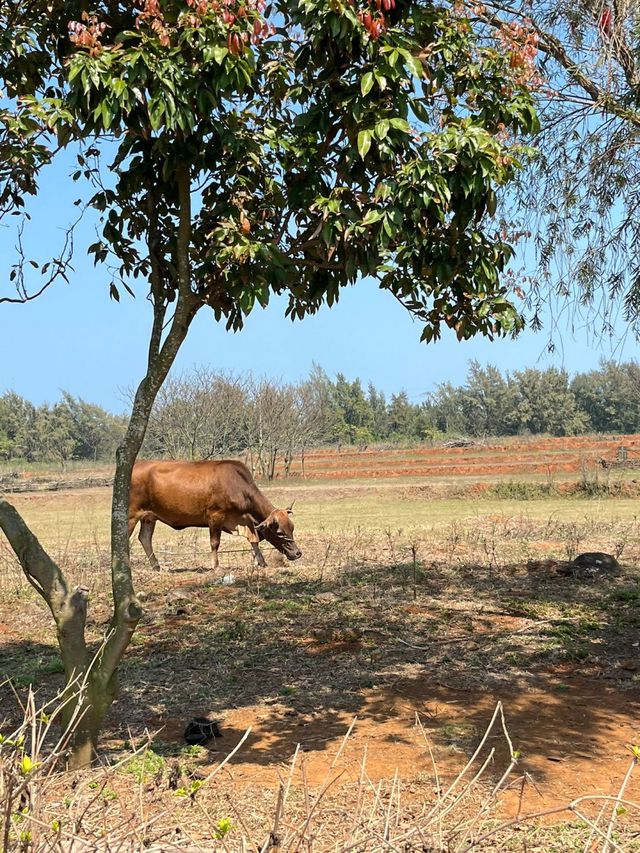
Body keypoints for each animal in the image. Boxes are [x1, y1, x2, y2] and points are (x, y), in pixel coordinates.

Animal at [129, 460, 304, 572]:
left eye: (292, 528)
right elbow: (215, 543)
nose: (297, 553)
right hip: (131, 514)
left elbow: (253, 541)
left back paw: (156, 566)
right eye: (280, 532)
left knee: (144, 538)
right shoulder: (216, 516)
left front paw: (262, 562)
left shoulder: (246, 521)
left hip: (149, 517)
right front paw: (216, 566)